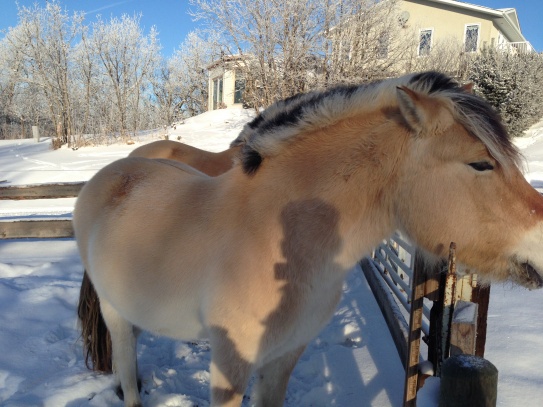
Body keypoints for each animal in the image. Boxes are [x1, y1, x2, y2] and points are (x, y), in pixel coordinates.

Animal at [74, 71, 543, 406]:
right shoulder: (230, 364)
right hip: (115, 315)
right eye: (481, 163)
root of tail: (111, 174)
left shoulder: (284, 356)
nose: (541, 242)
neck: (275, 236)